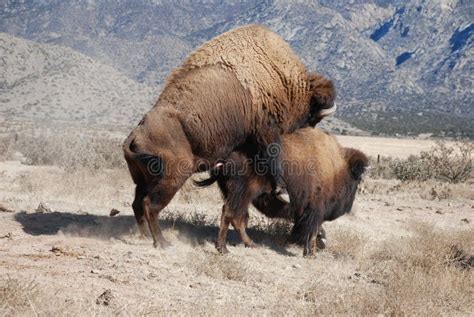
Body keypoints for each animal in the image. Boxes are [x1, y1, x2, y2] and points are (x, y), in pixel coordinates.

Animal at [124, 24, 336, 247]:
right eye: (312, 117)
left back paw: (145, 237)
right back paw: (162, 242)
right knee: (150, 205)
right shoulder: (267, 130)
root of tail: (135, 135)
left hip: (144, 181)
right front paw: (282, 190)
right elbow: (273, 156)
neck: (281, 76)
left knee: (138, 204)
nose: (307, 134)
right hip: (172, 178)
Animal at [194, 127, 368, 256]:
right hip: (242, 193)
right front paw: (310, 253)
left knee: (238, 218)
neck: (337, 168)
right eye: (358, 179)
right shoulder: (316, 209)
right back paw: (224, 249)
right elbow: (311, 231)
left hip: (238, 195)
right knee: (231, 214)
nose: (348, 206)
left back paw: (251, 244)